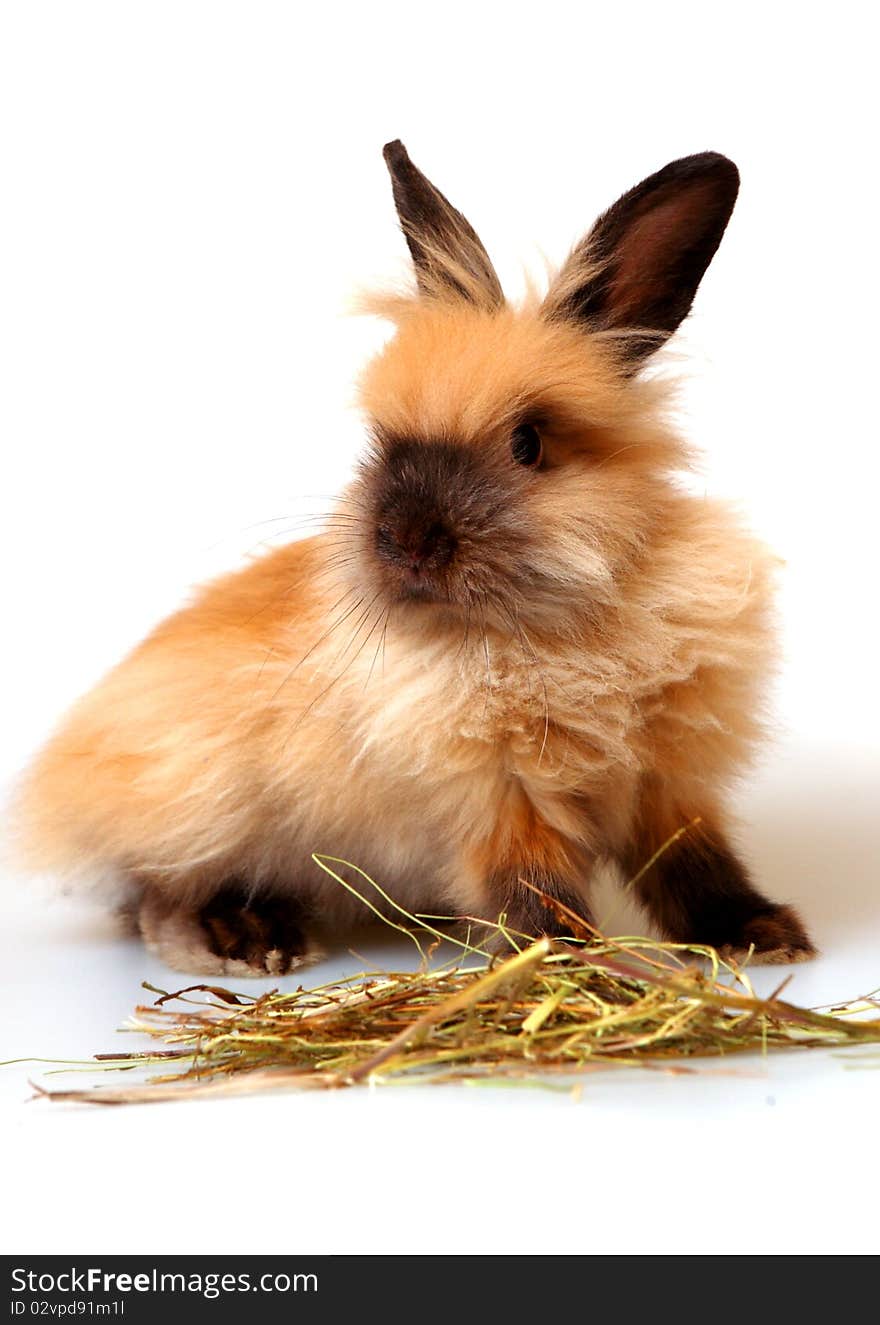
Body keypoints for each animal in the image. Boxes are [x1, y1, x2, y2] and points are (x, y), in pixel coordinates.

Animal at [13, 142, 816, 975]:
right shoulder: (503, 796)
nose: (407, 541)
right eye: (382, 445)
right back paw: (249, 938)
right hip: (197, 800)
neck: (553, 620)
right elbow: (534, 884)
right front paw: (573, 964)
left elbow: (697, 864)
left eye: (528, 443)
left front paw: (764, 933)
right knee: (156, 895)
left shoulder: (669, 781)